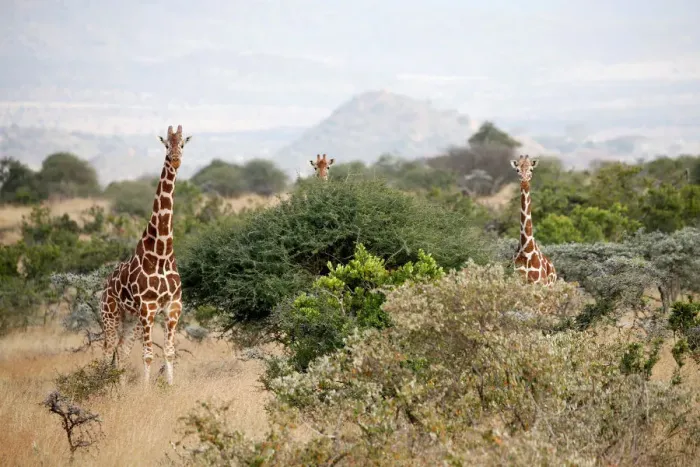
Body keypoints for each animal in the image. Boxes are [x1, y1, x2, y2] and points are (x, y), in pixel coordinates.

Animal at [100, 124, 192, 386]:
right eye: (166, 144)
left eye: (183, 143)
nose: (175, 159)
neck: (161, 252)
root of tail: (104, 286)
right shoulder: (148, 308)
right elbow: (148, 354)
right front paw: (145, 390)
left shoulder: (173, 307)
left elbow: (169, 351)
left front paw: (170, 387)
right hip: (111, 315)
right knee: (107, 348)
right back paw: (101, 385)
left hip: (130, 320)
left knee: (121, 350)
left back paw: (120, 388)